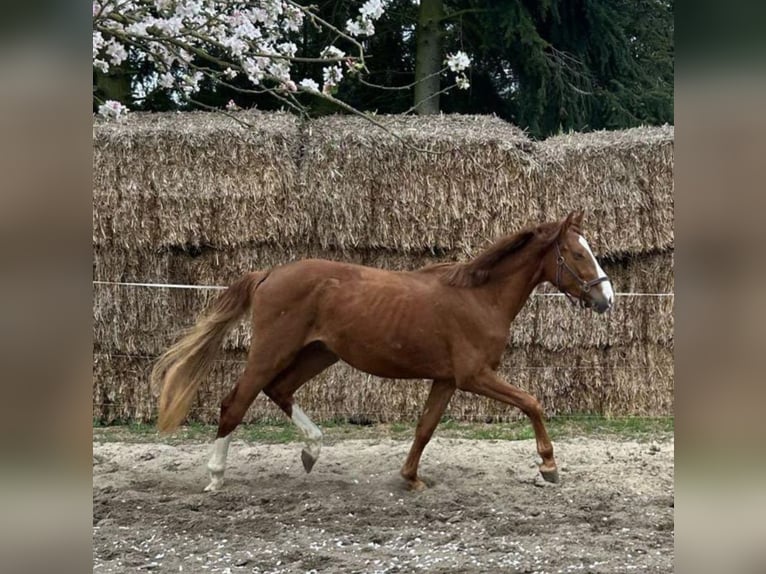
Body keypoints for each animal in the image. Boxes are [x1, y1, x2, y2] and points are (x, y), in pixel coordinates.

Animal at [152, 210, 613, 492]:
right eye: (577, 253)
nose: (606, 298)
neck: (480, 297)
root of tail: (268, 274)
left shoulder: (447, 380)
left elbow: (425, 428)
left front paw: (410, 478)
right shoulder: (474, 376)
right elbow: (532, 402)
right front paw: (549, 467)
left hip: (318, 353)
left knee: (279, 391)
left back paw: (312, 450)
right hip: (272, 351)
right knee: (235, 402)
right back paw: (216, 477)